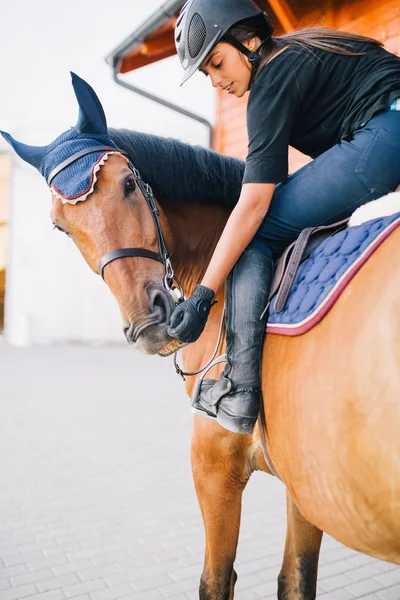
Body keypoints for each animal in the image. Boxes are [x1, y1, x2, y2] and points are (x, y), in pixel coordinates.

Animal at [3, 76, 400, 600]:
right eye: (61, 227)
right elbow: (295, 578)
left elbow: (216, 580)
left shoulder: (213, 465)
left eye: (129, 184)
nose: (148, 322)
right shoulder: (305, 485)